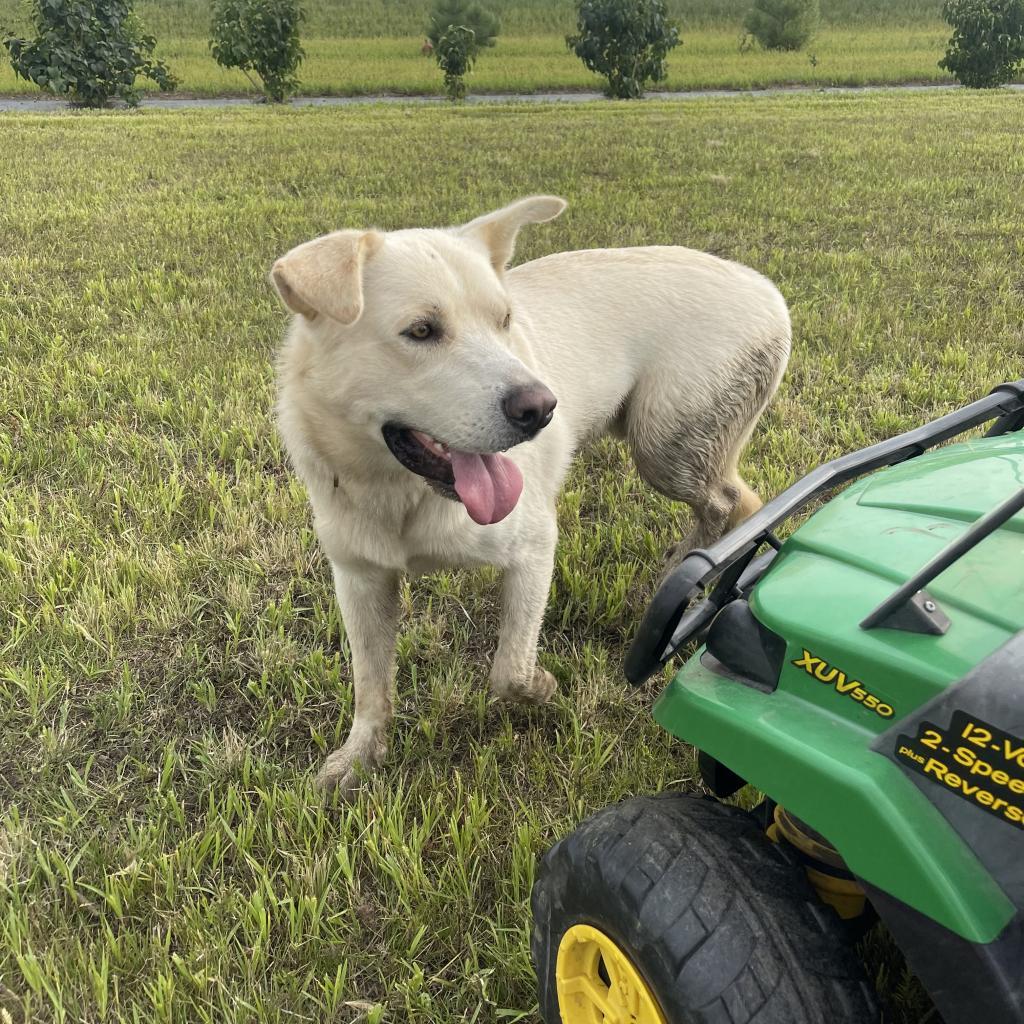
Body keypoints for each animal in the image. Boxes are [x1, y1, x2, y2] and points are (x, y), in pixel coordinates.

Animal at [272, 197, 790, 790]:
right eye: (421, 331)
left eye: (505, 321)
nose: (542, 408)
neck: (401, 493)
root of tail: (767, 290)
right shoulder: (360, 578)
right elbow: (369, 683)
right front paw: (358, 757)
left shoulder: (533, 549)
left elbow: (508, 670)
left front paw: (541, 689)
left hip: (666, 446)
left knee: (732, 500)